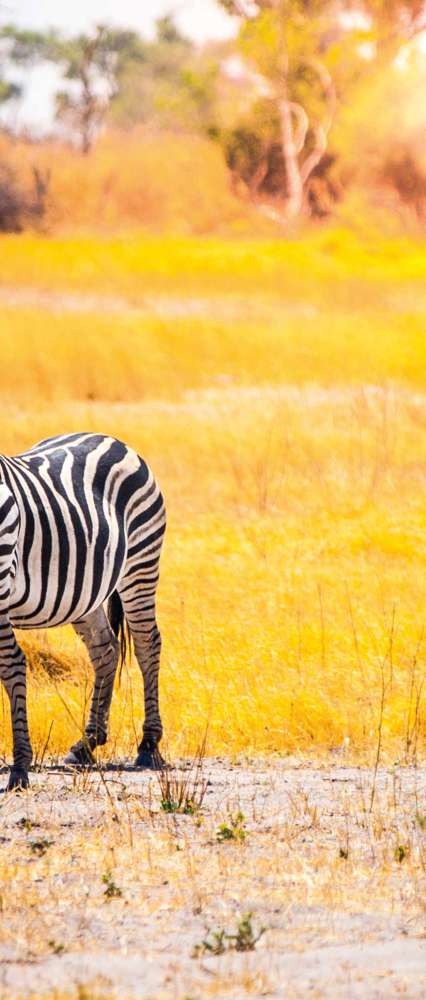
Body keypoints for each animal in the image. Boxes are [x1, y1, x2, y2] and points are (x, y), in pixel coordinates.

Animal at [0, 434, 167, 792]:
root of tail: (110, 439)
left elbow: (11, 664)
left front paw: (20, 767)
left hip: (140, 564)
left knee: (147, 645)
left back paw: (148, 745)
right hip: (83, 594)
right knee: (106, 651)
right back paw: (87, 743)